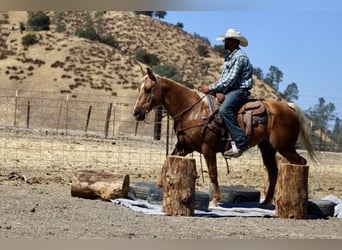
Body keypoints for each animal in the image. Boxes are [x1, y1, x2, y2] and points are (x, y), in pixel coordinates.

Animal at [132, 67, 316, 207]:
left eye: (147, 89)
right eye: (138, 89)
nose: (137, 113)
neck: (192, 110)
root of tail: (288, 107)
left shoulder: (207, 148)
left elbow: (213, 173)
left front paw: (215, 199)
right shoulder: (184, 147)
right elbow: (166, 162)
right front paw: (160, 184)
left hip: (285, 146)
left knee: (301, 162)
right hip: (268, 148)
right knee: (273, 172)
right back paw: (266, 203)